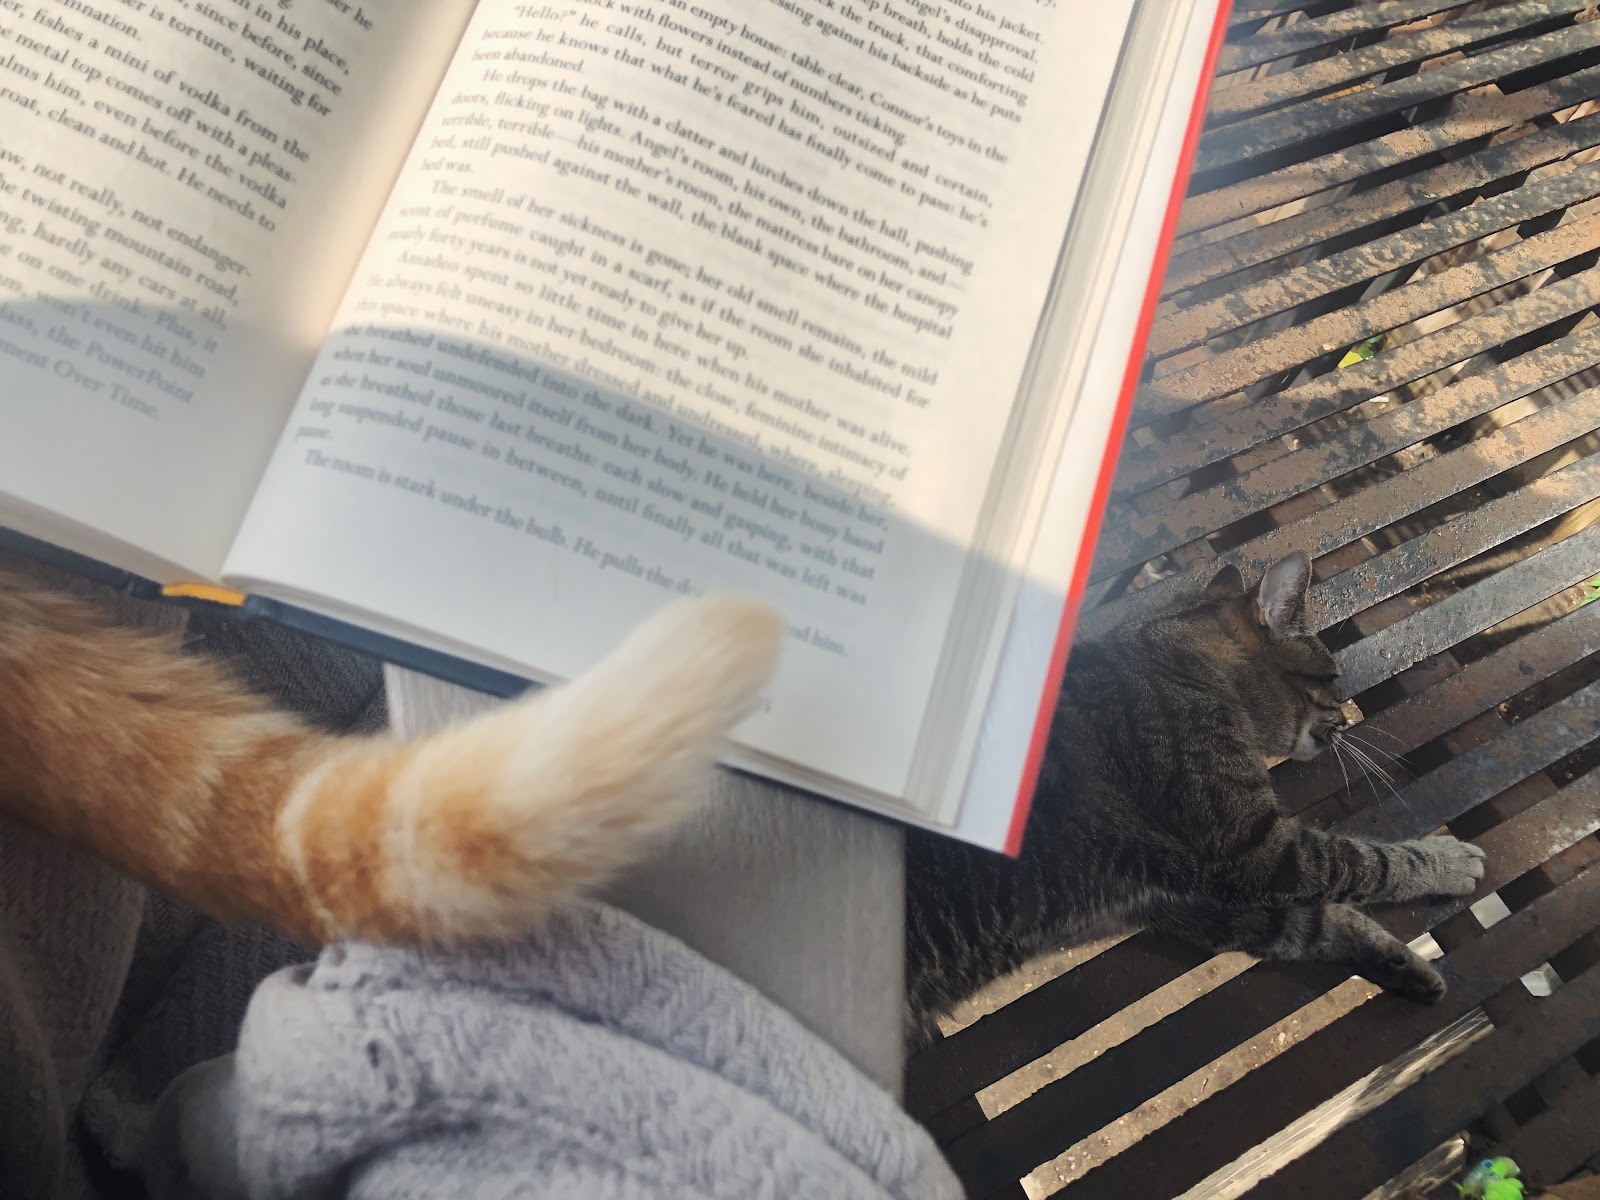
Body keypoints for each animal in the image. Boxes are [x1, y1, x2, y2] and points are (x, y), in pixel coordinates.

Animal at [905, 551, 1486, 1046]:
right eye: (1334, 678)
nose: (1345, 718)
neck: (1180, 662)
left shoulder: (1188, 898)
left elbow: (1314, 924)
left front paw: (1398, 963)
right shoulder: (1252, 849)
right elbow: (1368, 862)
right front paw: (1446, 861)